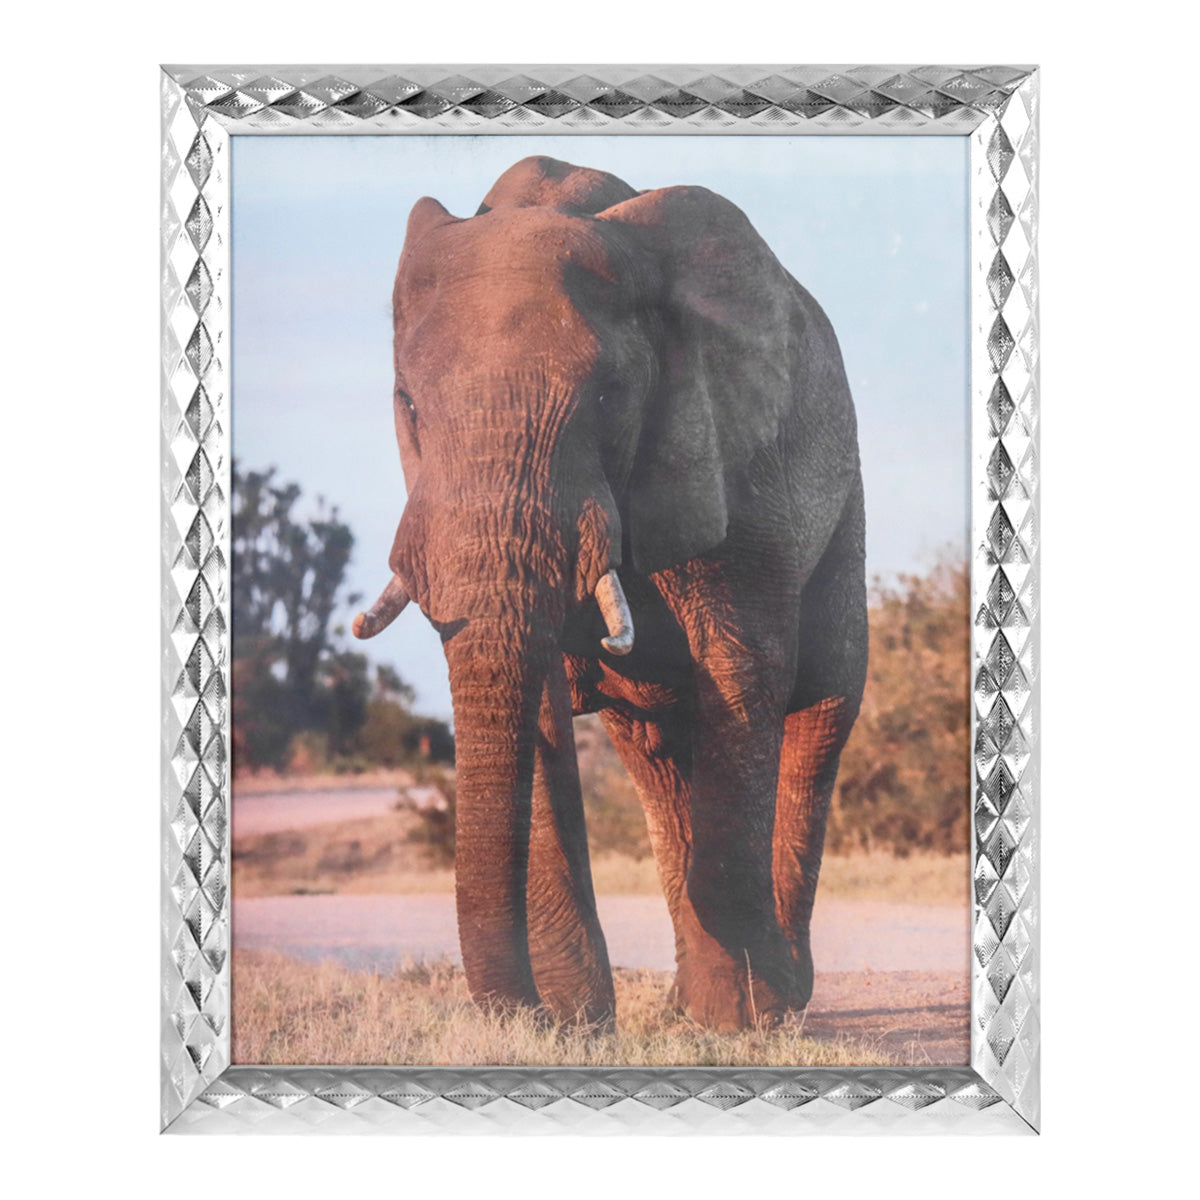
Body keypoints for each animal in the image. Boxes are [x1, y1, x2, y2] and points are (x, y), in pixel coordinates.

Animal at [353, 155, 868, 1032]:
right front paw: (579, 1026)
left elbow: (742, 676)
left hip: (845, 501)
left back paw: (779, 1000)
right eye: (408, 404)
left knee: (821, 714)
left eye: (608, 395)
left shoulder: (736, 463)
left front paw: (740, 1024)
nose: (519, 1016)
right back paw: (697, 1003)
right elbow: (543, 704)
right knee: (654, 751)